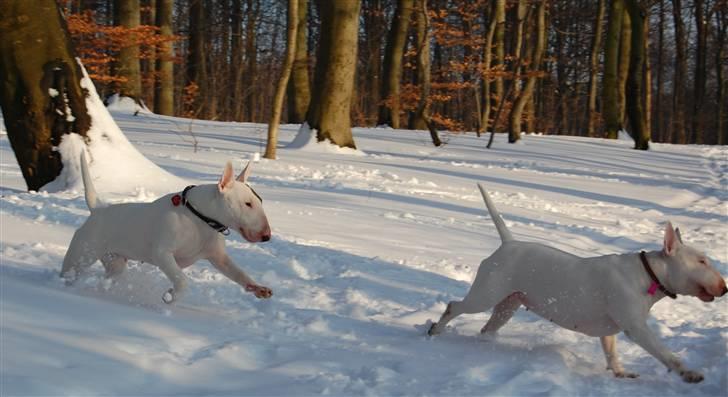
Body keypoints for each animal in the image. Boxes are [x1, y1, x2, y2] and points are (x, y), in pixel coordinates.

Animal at [60, 153, 272, 302]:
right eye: (247, 204)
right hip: (82, 254)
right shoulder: (162, 253)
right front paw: (170, 296)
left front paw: (258, 288)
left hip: (115, 262)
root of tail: (97, 209)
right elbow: (182, 280)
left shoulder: (218, 257)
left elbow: (238, 273)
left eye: (260, 201)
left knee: (111, 275)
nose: (267, 236)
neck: (200, 219)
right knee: (68, 272)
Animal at [430, 184, 724, 382]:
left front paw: (621, 373)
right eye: (702, 261)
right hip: (486, 293)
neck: (648, 274)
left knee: (487, 328)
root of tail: (508, 243)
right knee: (454, 306)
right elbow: (665, 353)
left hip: (507, 304)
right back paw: (435, 330)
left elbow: (611, 352)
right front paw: (690, 374)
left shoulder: (610, 329)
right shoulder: (637, 327)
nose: (725, 287)